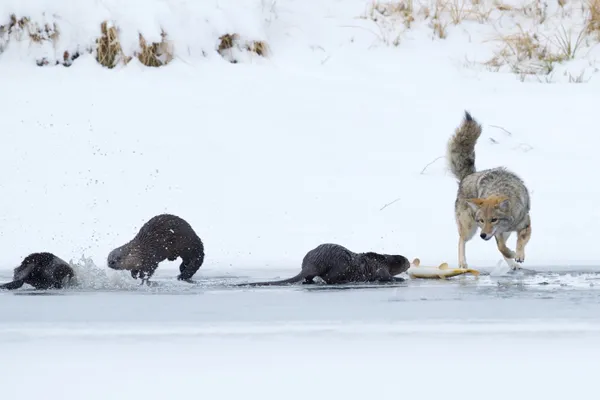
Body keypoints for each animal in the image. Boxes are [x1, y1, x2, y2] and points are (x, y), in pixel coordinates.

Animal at [239, 242, 412, 286]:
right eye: (405, 261)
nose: (410, 264)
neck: (384, 260)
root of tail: (312, 263)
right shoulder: (381, 269)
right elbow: (385, 277)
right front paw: (400, 278)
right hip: (341, 267)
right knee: (330, 278)